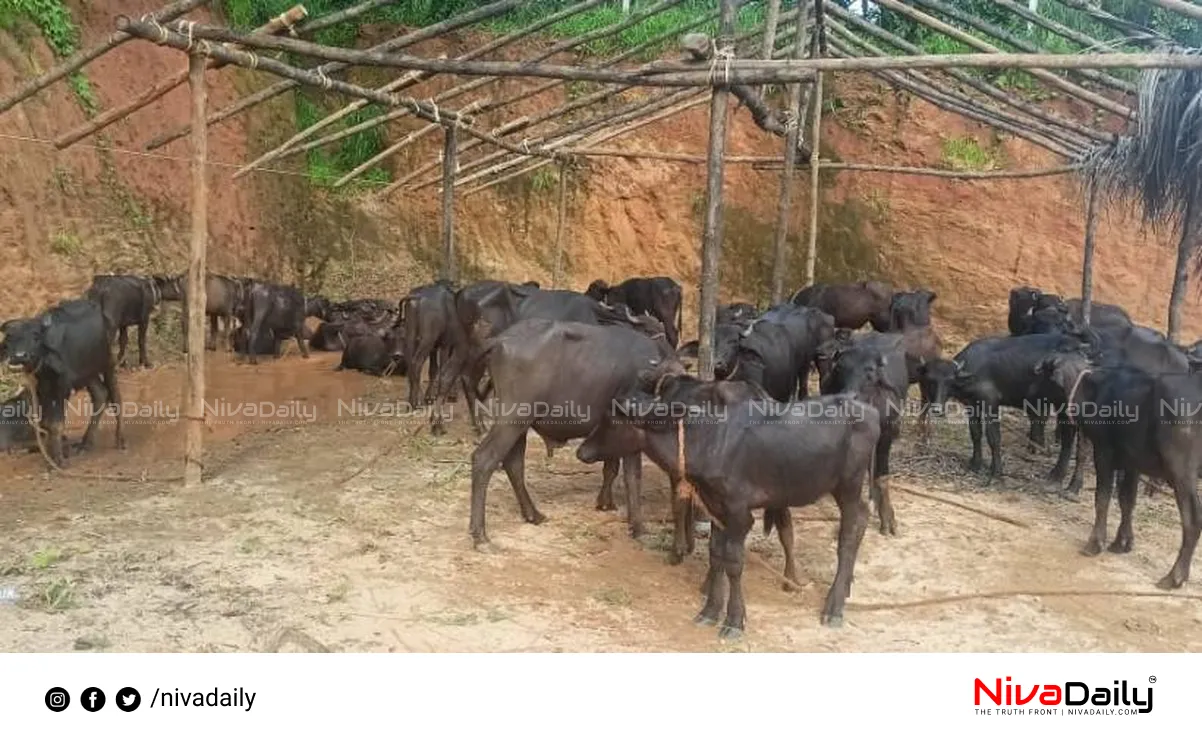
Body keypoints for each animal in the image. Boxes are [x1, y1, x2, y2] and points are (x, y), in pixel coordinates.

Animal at [576, 372, 879, 634]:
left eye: (610, 419)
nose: (582, 451)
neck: (709, 441)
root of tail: (868, 410)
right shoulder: (715, 507)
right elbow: (716, 555)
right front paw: (709, 611)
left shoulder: (738, 513)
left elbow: (733, 563)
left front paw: (733, 620)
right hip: (844, 490)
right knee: (862, 519)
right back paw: (844, 587)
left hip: (849, 486)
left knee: (847, 537)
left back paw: (834, 607)